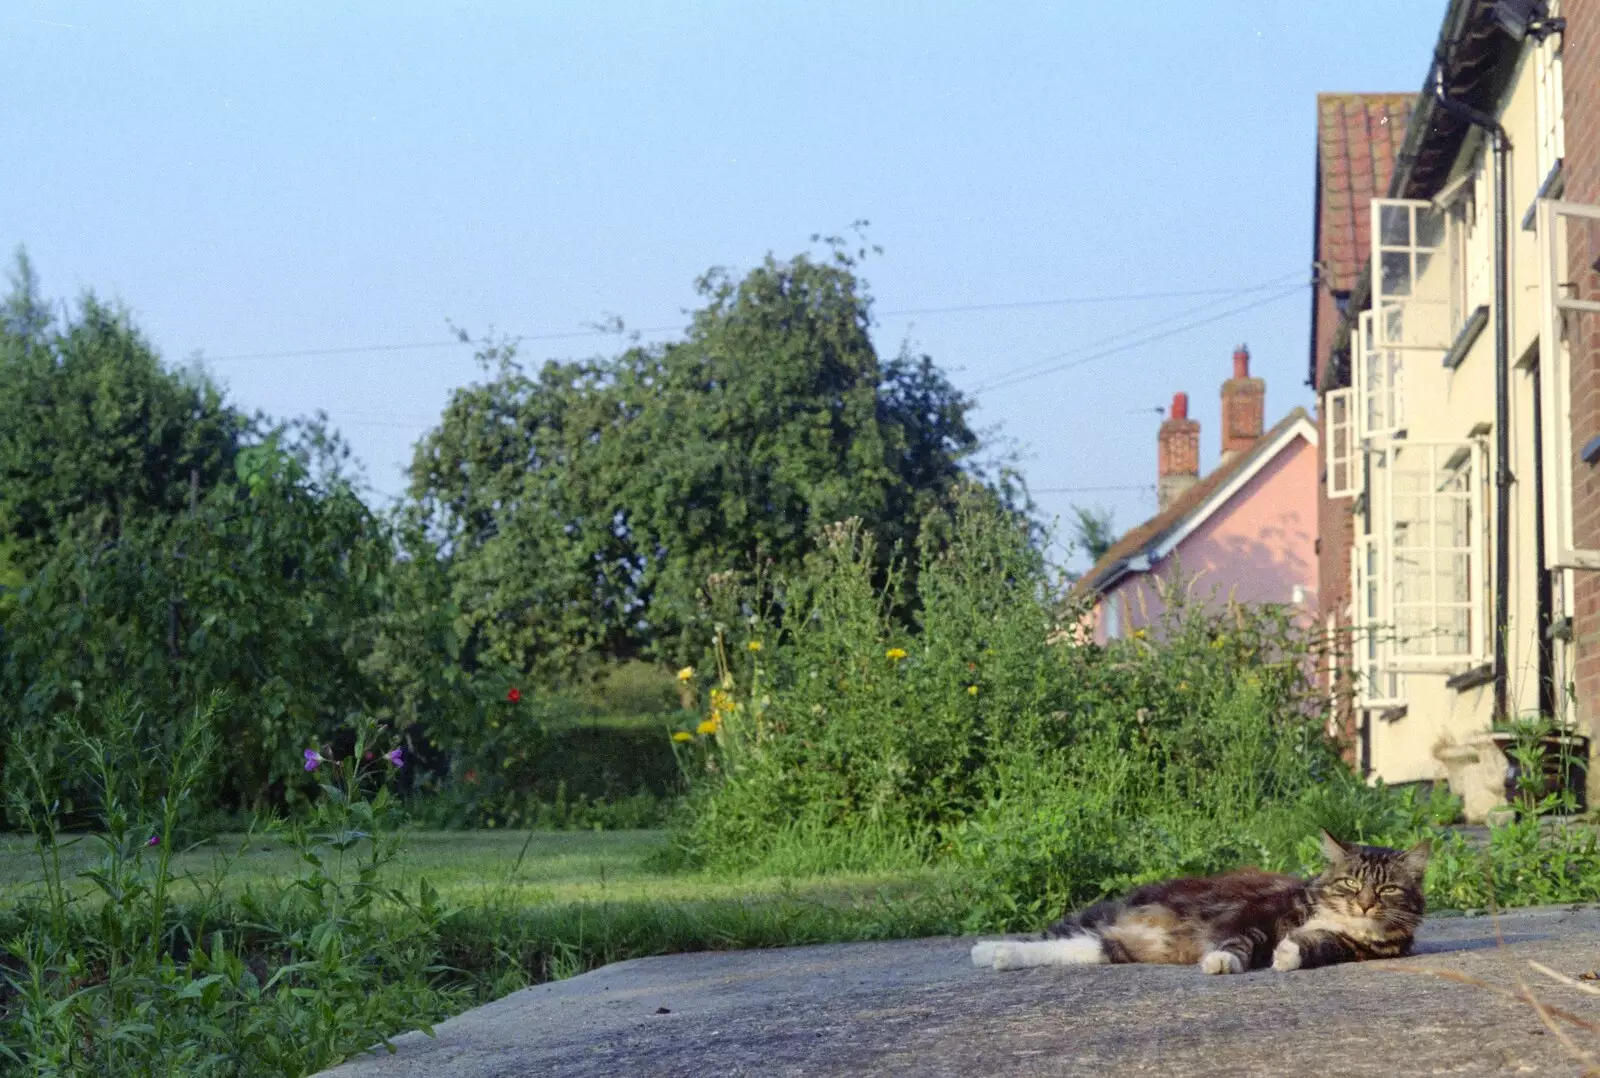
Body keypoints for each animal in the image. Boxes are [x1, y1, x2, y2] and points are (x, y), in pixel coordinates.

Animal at [966, 831, 1433, 972]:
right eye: (1351, 884)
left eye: (1387, 890)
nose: (1365, 905)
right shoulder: (1253, 915)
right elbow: (1239, 941)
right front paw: (1222, 962)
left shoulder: (1353, 948)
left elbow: (1313, 945)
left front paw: (1286, 955)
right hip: (1107, 914)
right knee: (1048, 935)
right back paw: (986, 950)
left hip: (1116, 946)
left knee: (1070, 948)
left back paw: (998, 956)